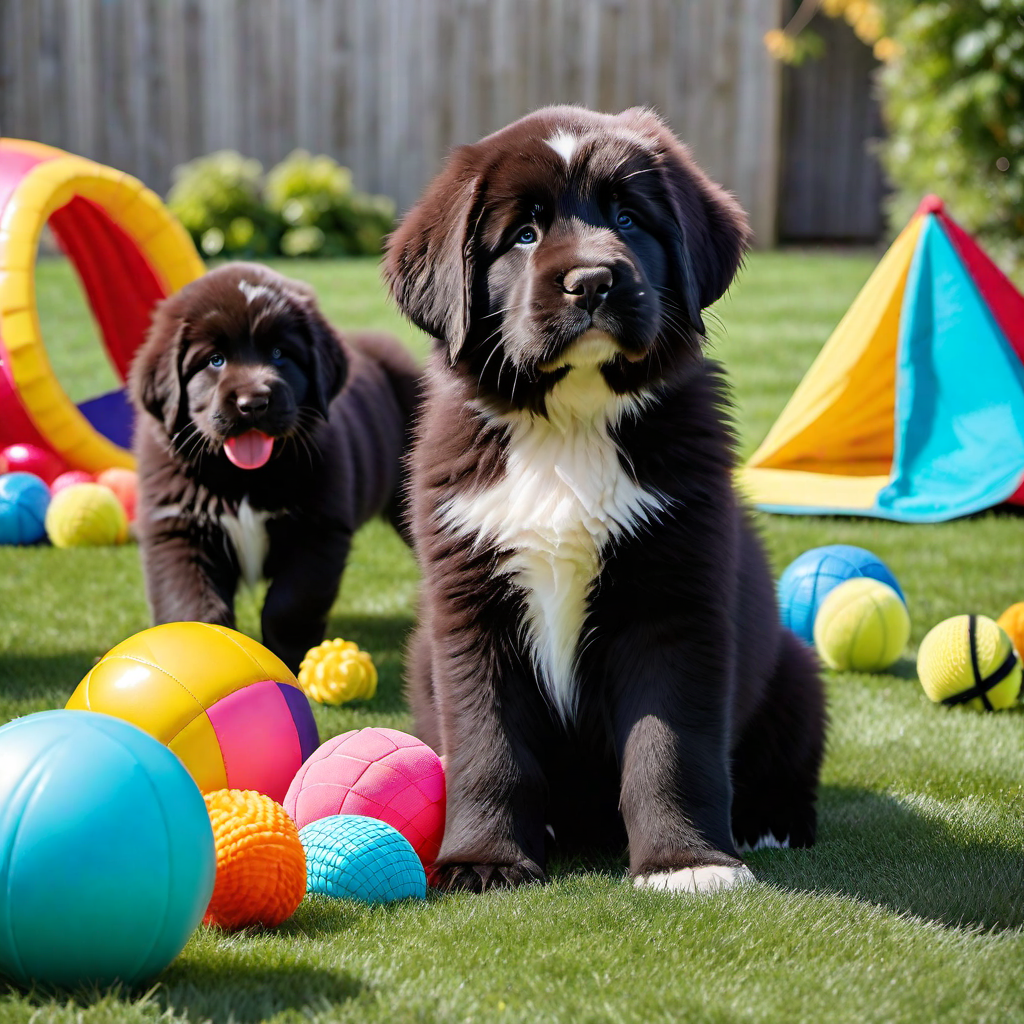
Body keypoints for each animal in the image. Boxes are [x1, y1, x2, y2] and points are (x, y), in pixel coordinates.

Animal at [132, 264, 419, 671]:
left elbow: (289, 606)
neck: (243, 479)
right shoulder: (177, 528)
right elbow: (192, 605)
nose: (253, 402)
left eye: (280, 354)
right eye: (215, 359)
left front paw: (289, 661)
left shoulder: (318, 530)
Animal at [387, 108, 827, 897]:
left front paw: (687, 863)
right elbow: (489, 749)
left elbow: (669, 750)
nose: (592, 280)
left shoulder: (673, 607)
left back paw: (772, 820)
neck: (571, 423)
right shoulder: (469, 611)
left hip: (795, 668)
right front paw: (484, 860)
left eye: (627, 218)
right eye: (524, 234)